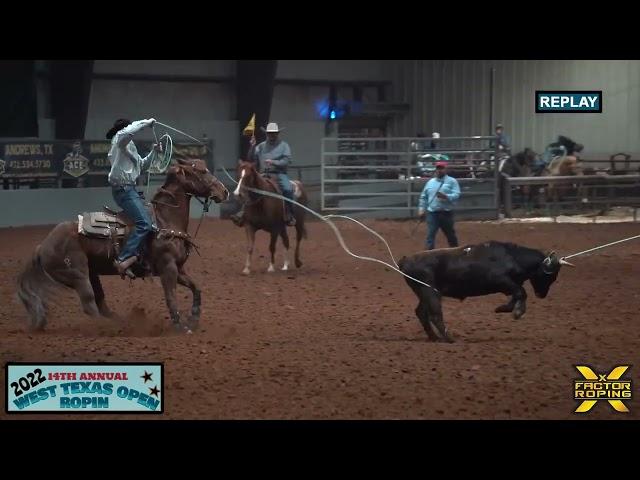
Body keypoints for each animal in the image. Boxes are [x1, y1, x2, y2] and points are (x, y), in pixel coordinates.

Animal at [16, 159, 231, 332]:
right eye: (202, 171)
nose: (225, 191)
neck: (165, 220)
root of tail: (42, 246)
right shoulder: (167, 268)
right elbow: (171, 297)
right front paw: (180, 326)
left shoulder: (179, 269)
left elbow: (196, 288)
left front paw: (193, 318)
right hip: (77, 275)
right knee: (90, 305)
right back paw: (110, 328)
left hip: (92, 274)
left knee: (100, 303)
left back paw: (121, 323)